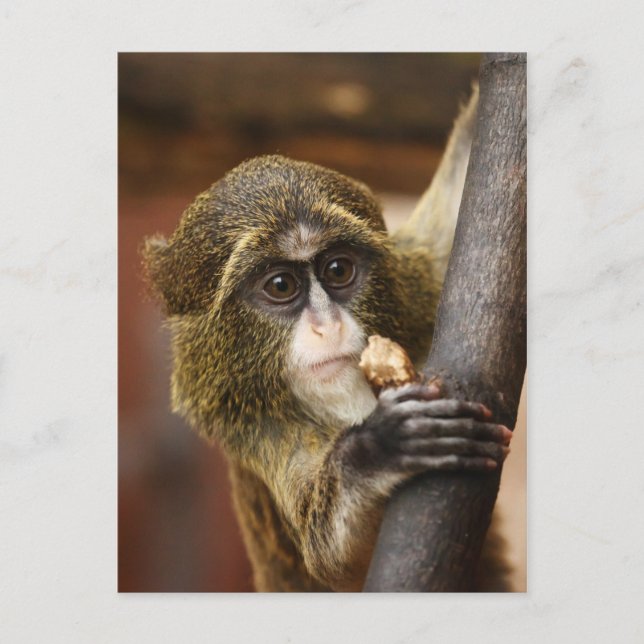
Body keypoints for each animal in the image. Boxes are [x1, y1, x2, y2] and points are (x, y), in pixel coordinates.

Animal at [142, 86, 513, 591]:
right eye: (281, 285)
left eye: (337, 270)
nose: (327, 325)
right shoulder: (254, 427)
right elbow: (336, 560)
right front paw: (380, 450)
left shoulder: (417, 283)